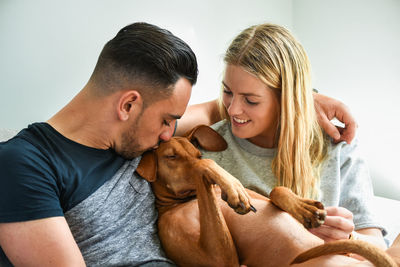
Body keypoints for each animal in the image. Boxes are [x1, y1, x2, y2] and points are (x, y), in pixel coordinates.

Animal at [136, 126, 398, 267]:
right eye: (171, 157)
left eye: (198, 153)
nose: (200, 158)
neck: (188, 199)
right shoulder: (219, 260)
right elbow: (208, 169)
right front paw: (232, 188)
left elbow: (276, 190)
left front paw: (305, 209)